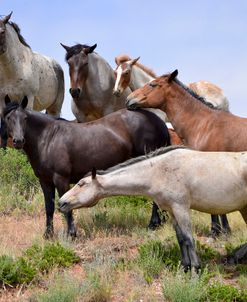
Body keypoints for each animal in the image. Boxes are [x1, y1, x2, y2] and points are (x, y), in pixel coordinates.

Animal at [3, 95, 171, 237]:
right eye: (9, 118)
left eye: (25, 118)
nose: (18, 141)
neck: (48, 139)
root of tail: (158, 121)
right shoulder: (45, 181)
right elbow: (49, 208)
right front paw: (48, 235)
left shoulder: (61, 179)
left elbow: (66, 208)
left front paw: (71, 234)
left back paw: (152, 224)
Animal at [58, 145, 247, 270]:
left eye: (81, 184)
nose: (61, 203)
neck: (158, 171)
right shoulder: (172, 210)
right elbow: (181, 238)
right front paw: (184, 267)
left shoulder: (181, 208)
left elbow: (189, 238)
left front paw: (195, 269)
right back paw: (235, 257)